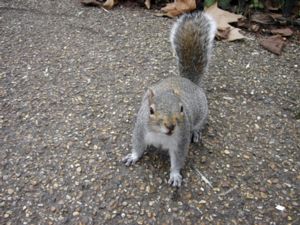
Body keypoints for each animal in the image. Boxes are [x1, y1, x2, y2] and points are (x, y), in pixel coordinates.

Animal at [122, 11, 216, 186]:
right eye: (151, 110)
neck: (161, 135)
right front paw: (133, 157)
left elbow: (178, 160)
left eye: (182, 108)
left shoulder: (181, 141)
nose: (171, 126)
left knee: (199, 125)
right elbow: (138, 146)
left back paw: (196, 133)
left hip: (202, 114)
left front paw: (175, 175)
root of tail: (188, 81)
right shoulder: (140, 131)